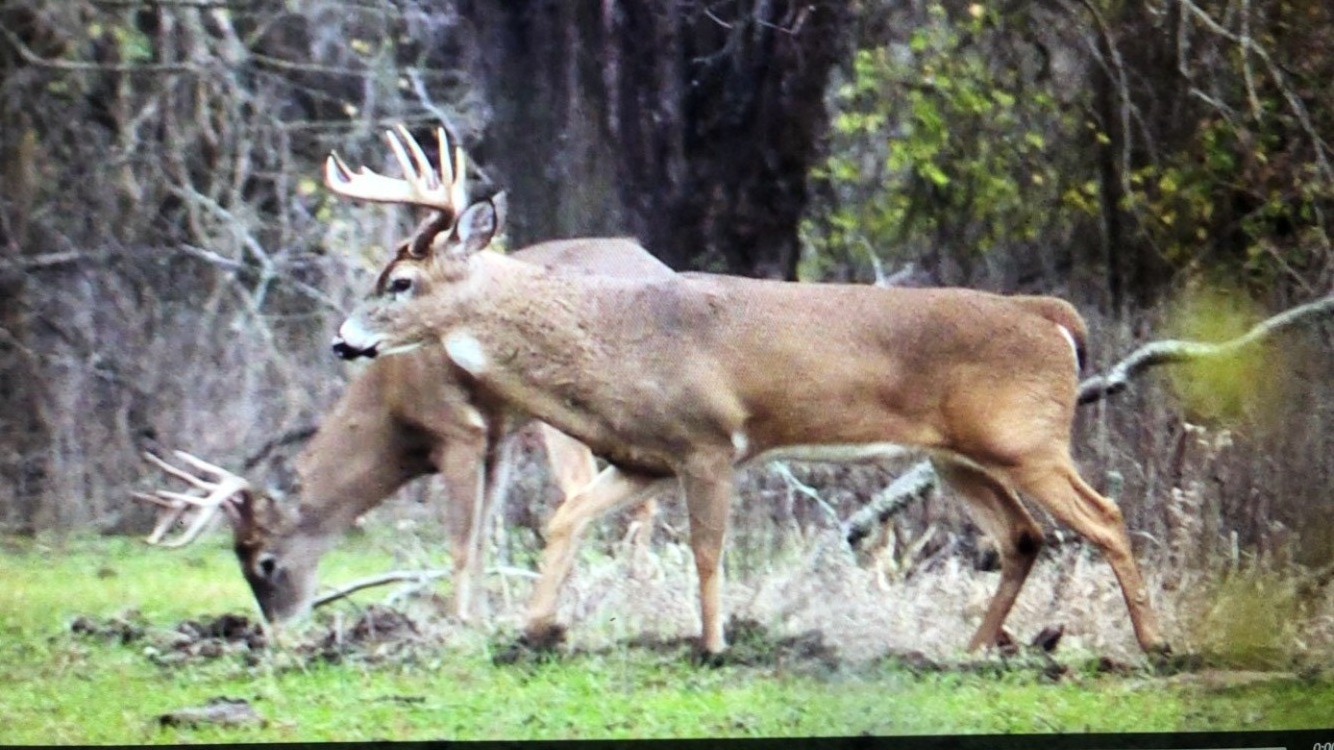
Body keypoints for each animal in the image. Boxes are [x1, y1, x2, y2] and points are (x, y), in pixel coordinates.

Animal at [134, 127, 674, 625]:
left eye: (263, 561)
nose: (276, 629)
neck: (394, 410)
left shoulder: (458, 432)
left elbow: (461, 542)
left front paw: (460, 627)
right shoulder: (496, 440)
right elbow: (483, 539)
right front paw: (482, 620)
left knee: (585, 485)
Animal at [326, 127, 1171, 659]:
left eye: (400, 283)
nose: (342, 340)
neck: (611, 344)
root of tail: (1052, 317)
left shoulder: (708, 440)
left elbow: (707, 551)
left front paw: (713, 644)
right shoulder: (644, 457)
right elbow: (567, 519)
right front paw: (535, 633)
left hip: (1026, 439)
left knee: (1104, 516)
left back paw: (1156, 645)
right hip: (956, 457)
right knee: (1023, 537)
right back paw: (969, 650)